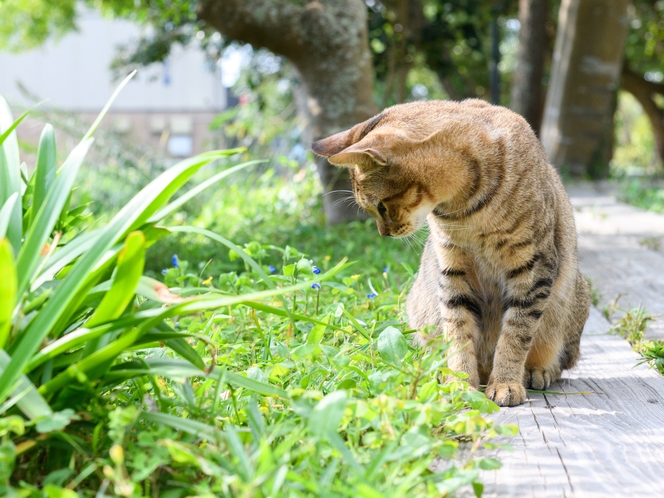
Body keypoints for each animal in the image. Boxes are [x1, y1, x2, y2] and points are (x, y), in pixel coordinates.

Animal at [312, 99, 592, 406]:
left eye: (381, 206)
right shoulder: (453, 271)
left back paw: (536, 370)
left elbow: (515, 334)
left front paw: (506, 382)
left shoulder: (532, 269)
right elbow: (458, 332)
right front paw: (460, 384)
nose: (383, 233)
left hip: (572, 297)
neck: (464, 209)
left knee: (560, 357)